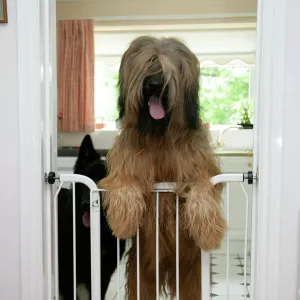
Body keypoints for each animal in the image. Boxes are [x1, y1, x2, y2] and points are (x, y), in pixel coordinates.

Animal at [99, 36, 226, 298]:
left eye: (167, 67)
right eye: (147, 64)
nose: (155, 84)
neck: (160, 136)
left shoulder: (201, 168)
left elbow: (202, 188)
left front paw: (210, 233)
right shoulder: (123, 166)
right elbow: (124, 183)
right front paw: (123, 222)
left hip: (192, 277)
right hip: (141, 274)